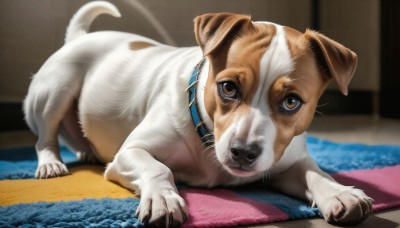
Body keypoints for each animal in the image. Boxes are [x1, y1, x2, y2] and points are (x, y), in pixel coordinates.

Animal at [24, 1, 372, 226]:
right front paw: (163, 199)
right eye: (228, 87)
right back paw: (51, 163)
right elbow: (158, 168)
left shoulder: (289, 162)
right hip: (55, 90)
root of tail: (81, 37)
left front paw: (342, 193)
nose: (243, 152)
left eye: (291, 102)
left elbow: (315, 173)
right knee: (45, 138)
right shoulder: (130, 152)